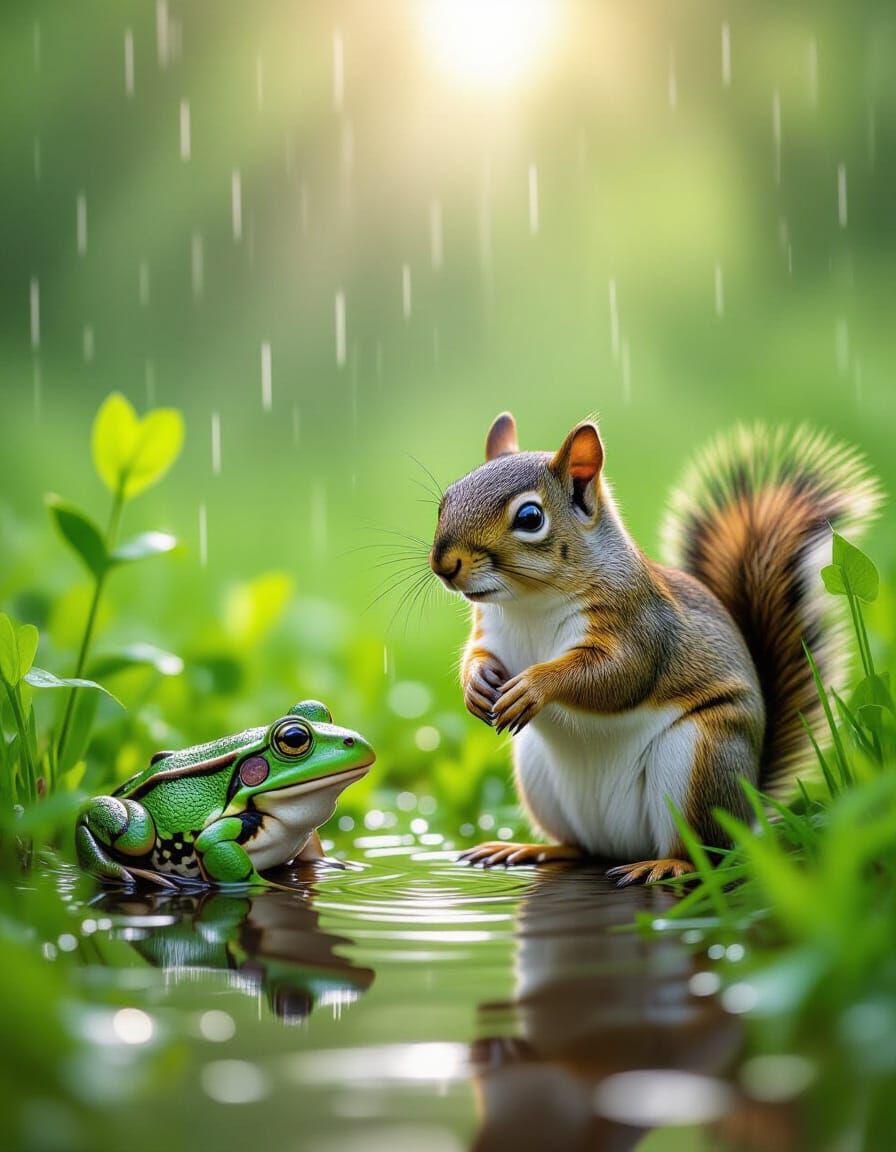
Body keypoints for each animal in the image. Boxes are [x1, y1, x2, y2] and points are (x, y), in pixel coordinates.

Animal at [429, 412, 881, 884]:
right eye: (445, 501)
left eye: (530, 517)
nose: (444, 564)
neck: (527, 604)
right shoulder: (491, 632)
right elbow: (478, 656)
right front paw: (475, 685)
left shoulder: (641, 628)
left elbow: (617, 676)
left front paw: (535, 685)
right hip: (539, 778)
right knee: (579, 847)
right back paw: (528, 848)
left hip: (700, 760)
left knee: (704, 851)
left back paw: (666, 863)